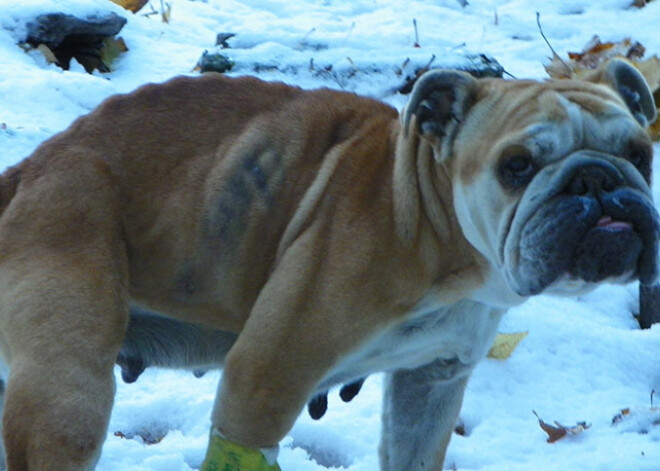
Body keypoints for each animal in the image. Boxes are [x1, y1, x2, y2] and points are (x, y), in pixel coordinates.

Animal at [0, 60, 656, 471]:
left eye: (640, 153)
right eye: (516, 166)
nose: (597, 181)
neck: (429, 223)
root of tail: (27, 171)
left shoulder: (431, 384)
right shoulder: (264, 383)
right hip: (71, 378)